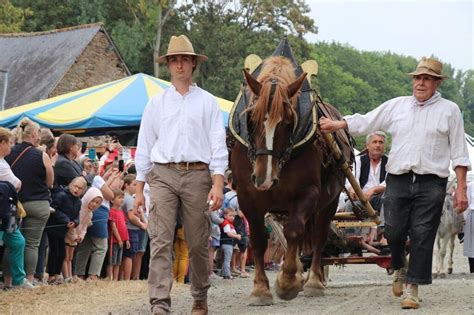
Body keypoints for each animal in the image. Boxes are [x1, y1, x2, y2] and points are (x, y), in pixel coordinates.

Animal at [231, 56, 350, 306]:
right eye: (251, 118)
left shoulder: (308, 193)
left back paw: (313, 281)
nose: (264, 178)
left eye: (287, 122)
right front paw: (261, 289)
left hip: (329, 202)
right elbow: (258, 240)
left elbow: (295, 231)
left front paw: (287, 282)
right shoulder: (247, 196)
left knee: (318, 236)